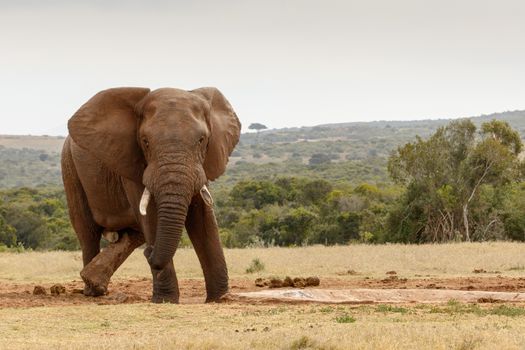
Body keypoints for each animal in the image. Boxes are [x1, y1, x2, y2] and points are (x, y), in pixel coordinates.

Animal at [60, 87, 241, 304]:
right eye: (145, 142)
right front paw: (165, 300)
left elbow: (203, 218)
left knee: (132, 233)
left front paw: (220, 298)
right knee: (87, 231)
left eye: (202, 140)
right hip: (69, 167)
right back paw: (92, 291)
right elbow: (151, 217)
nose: (150, 251)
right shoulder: (131, 162)